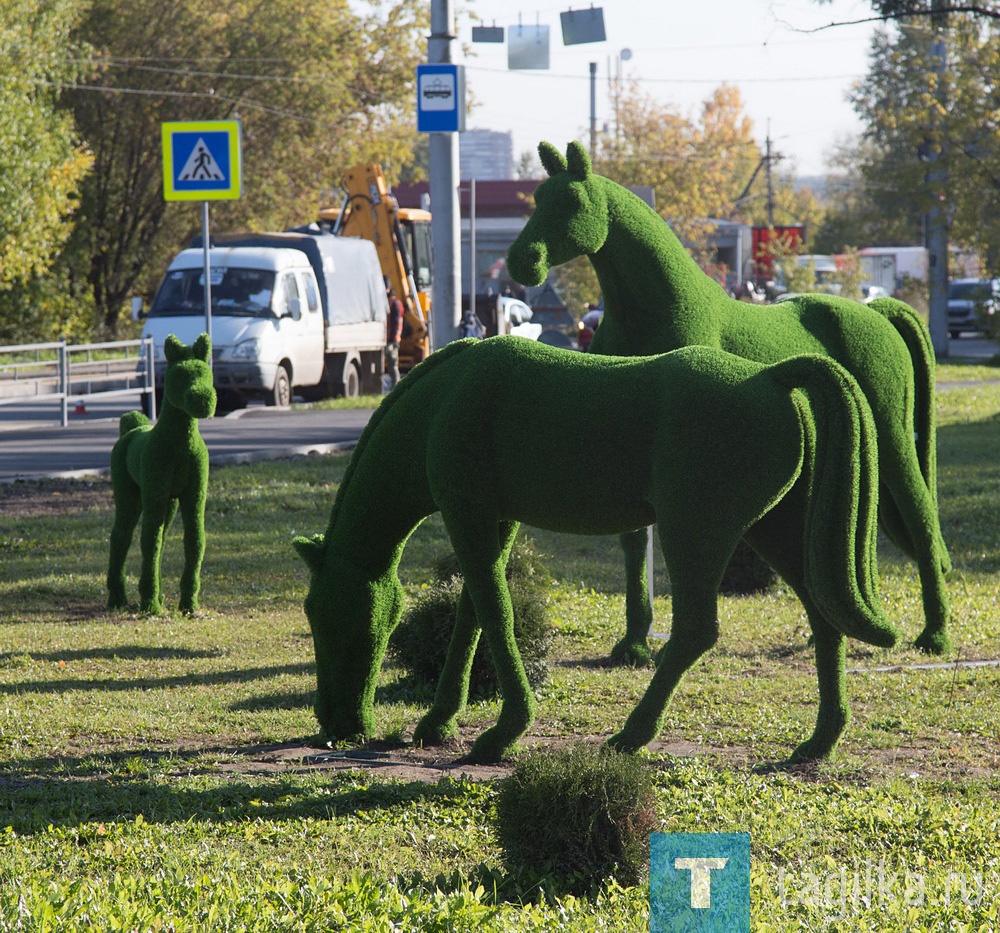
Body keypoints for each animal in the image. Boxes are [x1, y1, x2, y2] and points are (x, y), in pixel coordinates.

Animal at [108, 332, 217, 616]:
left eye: (207, 374)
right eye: (178, 375)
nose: (204, 401)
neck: (180, 445)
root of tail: (131, 428)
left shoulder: (193, 496)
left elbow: (195, 541)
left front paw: (189, 604)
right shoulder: (155, 493)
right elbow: (148, 541)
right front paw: (149, 604)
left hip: (168, 501)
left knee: (162, 539)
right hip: (130, 495)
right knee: (121, 536)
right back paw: (118, 598)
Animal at [294, 334, 900, 764]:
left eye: (322, 616)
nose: (338, 723)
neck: (443, 402)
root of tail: (770, 377)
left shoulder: (468, 515)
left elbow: (494, 611)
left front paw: (501, 733)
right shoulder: (495, 521)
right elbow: (473, 610)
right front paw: (438, 722)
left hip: (694, 532)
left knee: (696, 631)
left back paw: (631, 735)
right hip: (771, 530)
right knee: (823, 614)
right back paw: (819, 742)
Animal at [508, 140, 952, 664]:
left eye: (573, 202)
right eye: (537, 199)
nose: (522, 262)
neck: (654, 312)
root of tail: (877, 312)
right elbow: (634, 543)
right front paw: (633, 642)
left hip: (893, 435)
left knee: (922, 517)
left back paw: (935, 635)